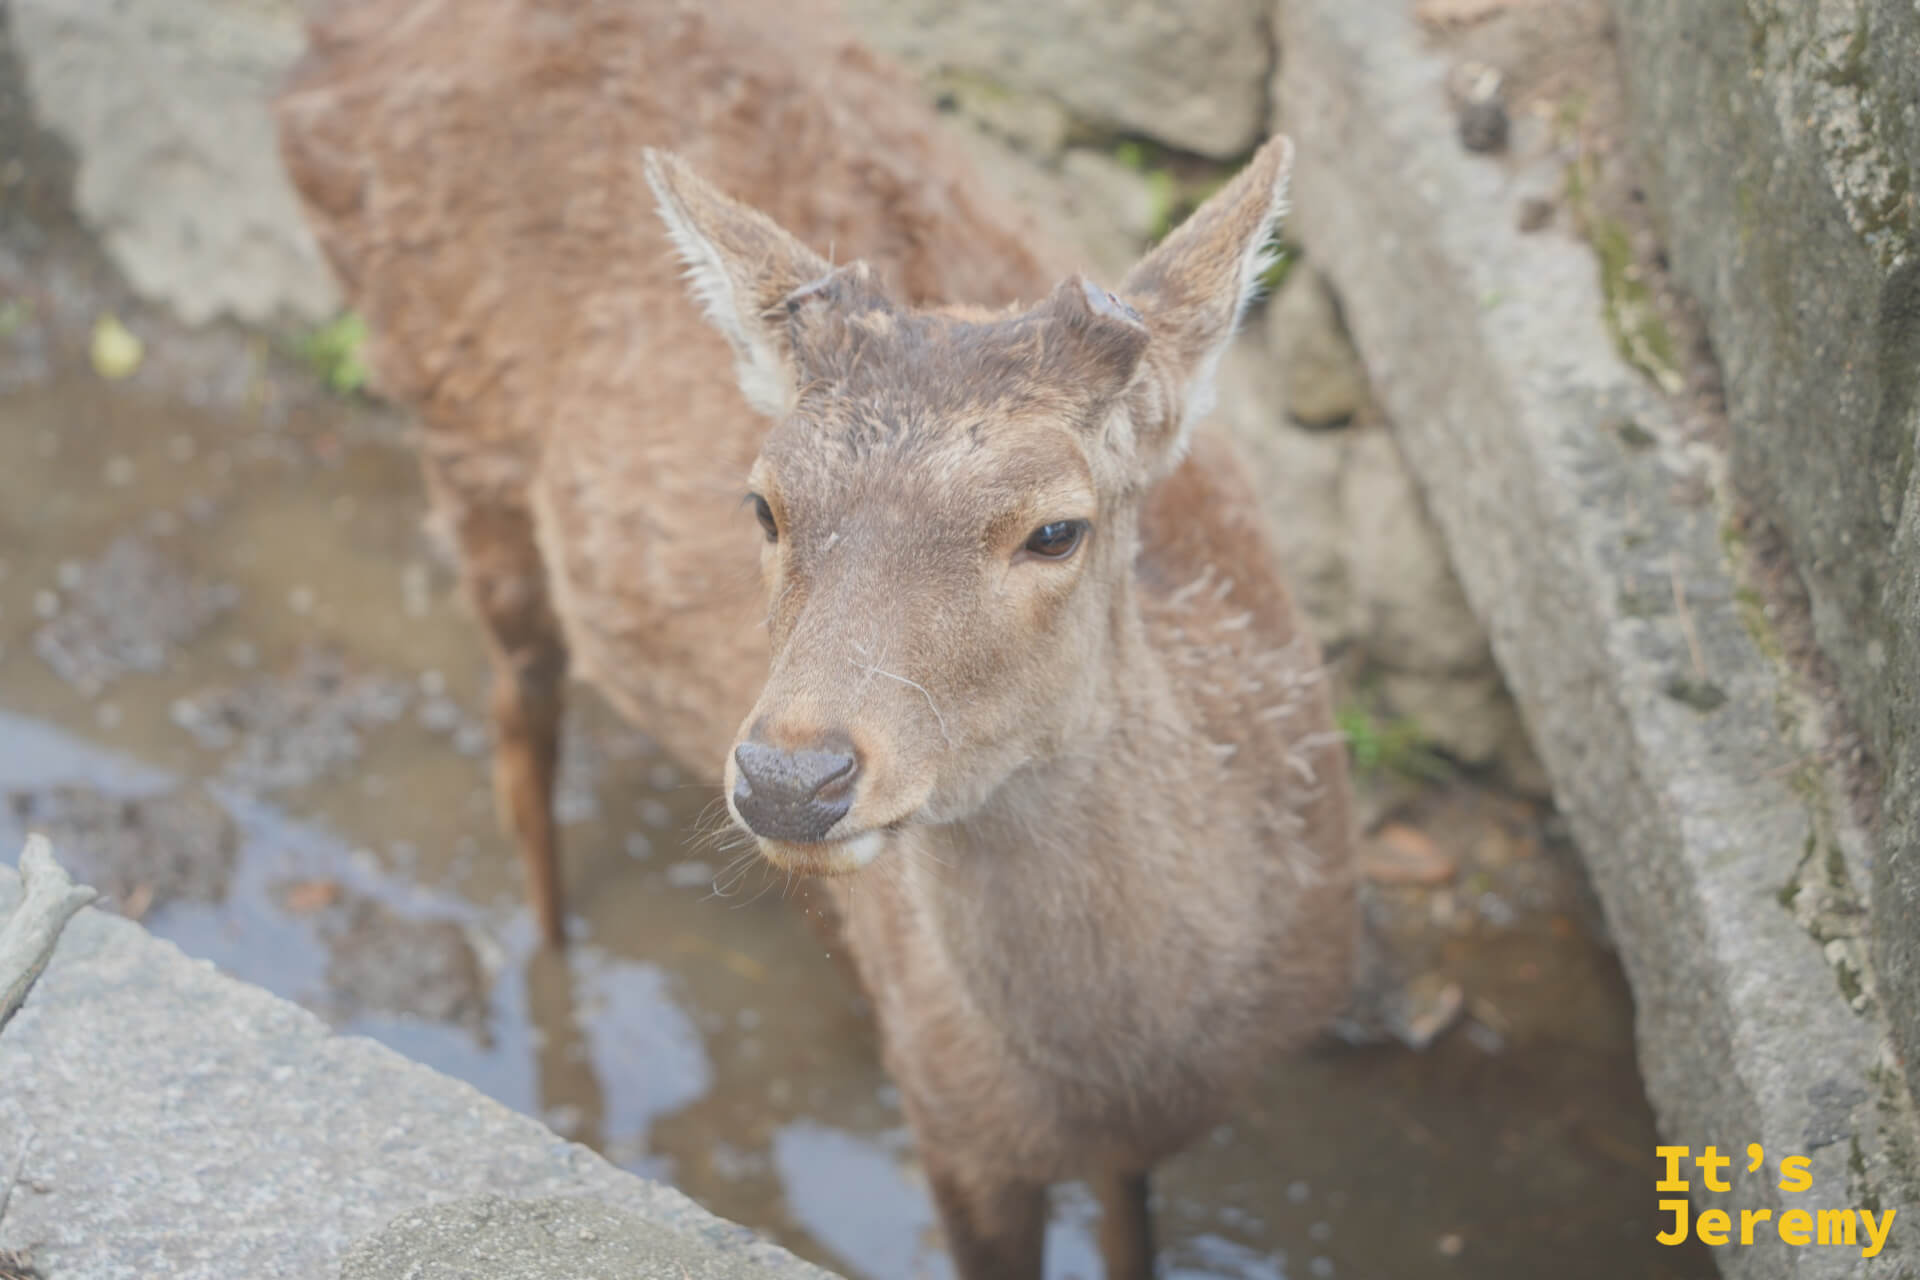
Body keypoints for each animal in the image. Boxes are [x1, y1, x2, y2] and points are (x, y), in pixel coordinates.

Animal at [275, 2, 1357, 1276]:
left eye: (1056, 527)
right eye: (764, 503)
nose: (793, 777)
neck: (1124, 1064)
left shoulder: (1131, 1140)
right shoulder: (950, 1119)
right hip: (455, 428)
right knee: (517, 720)